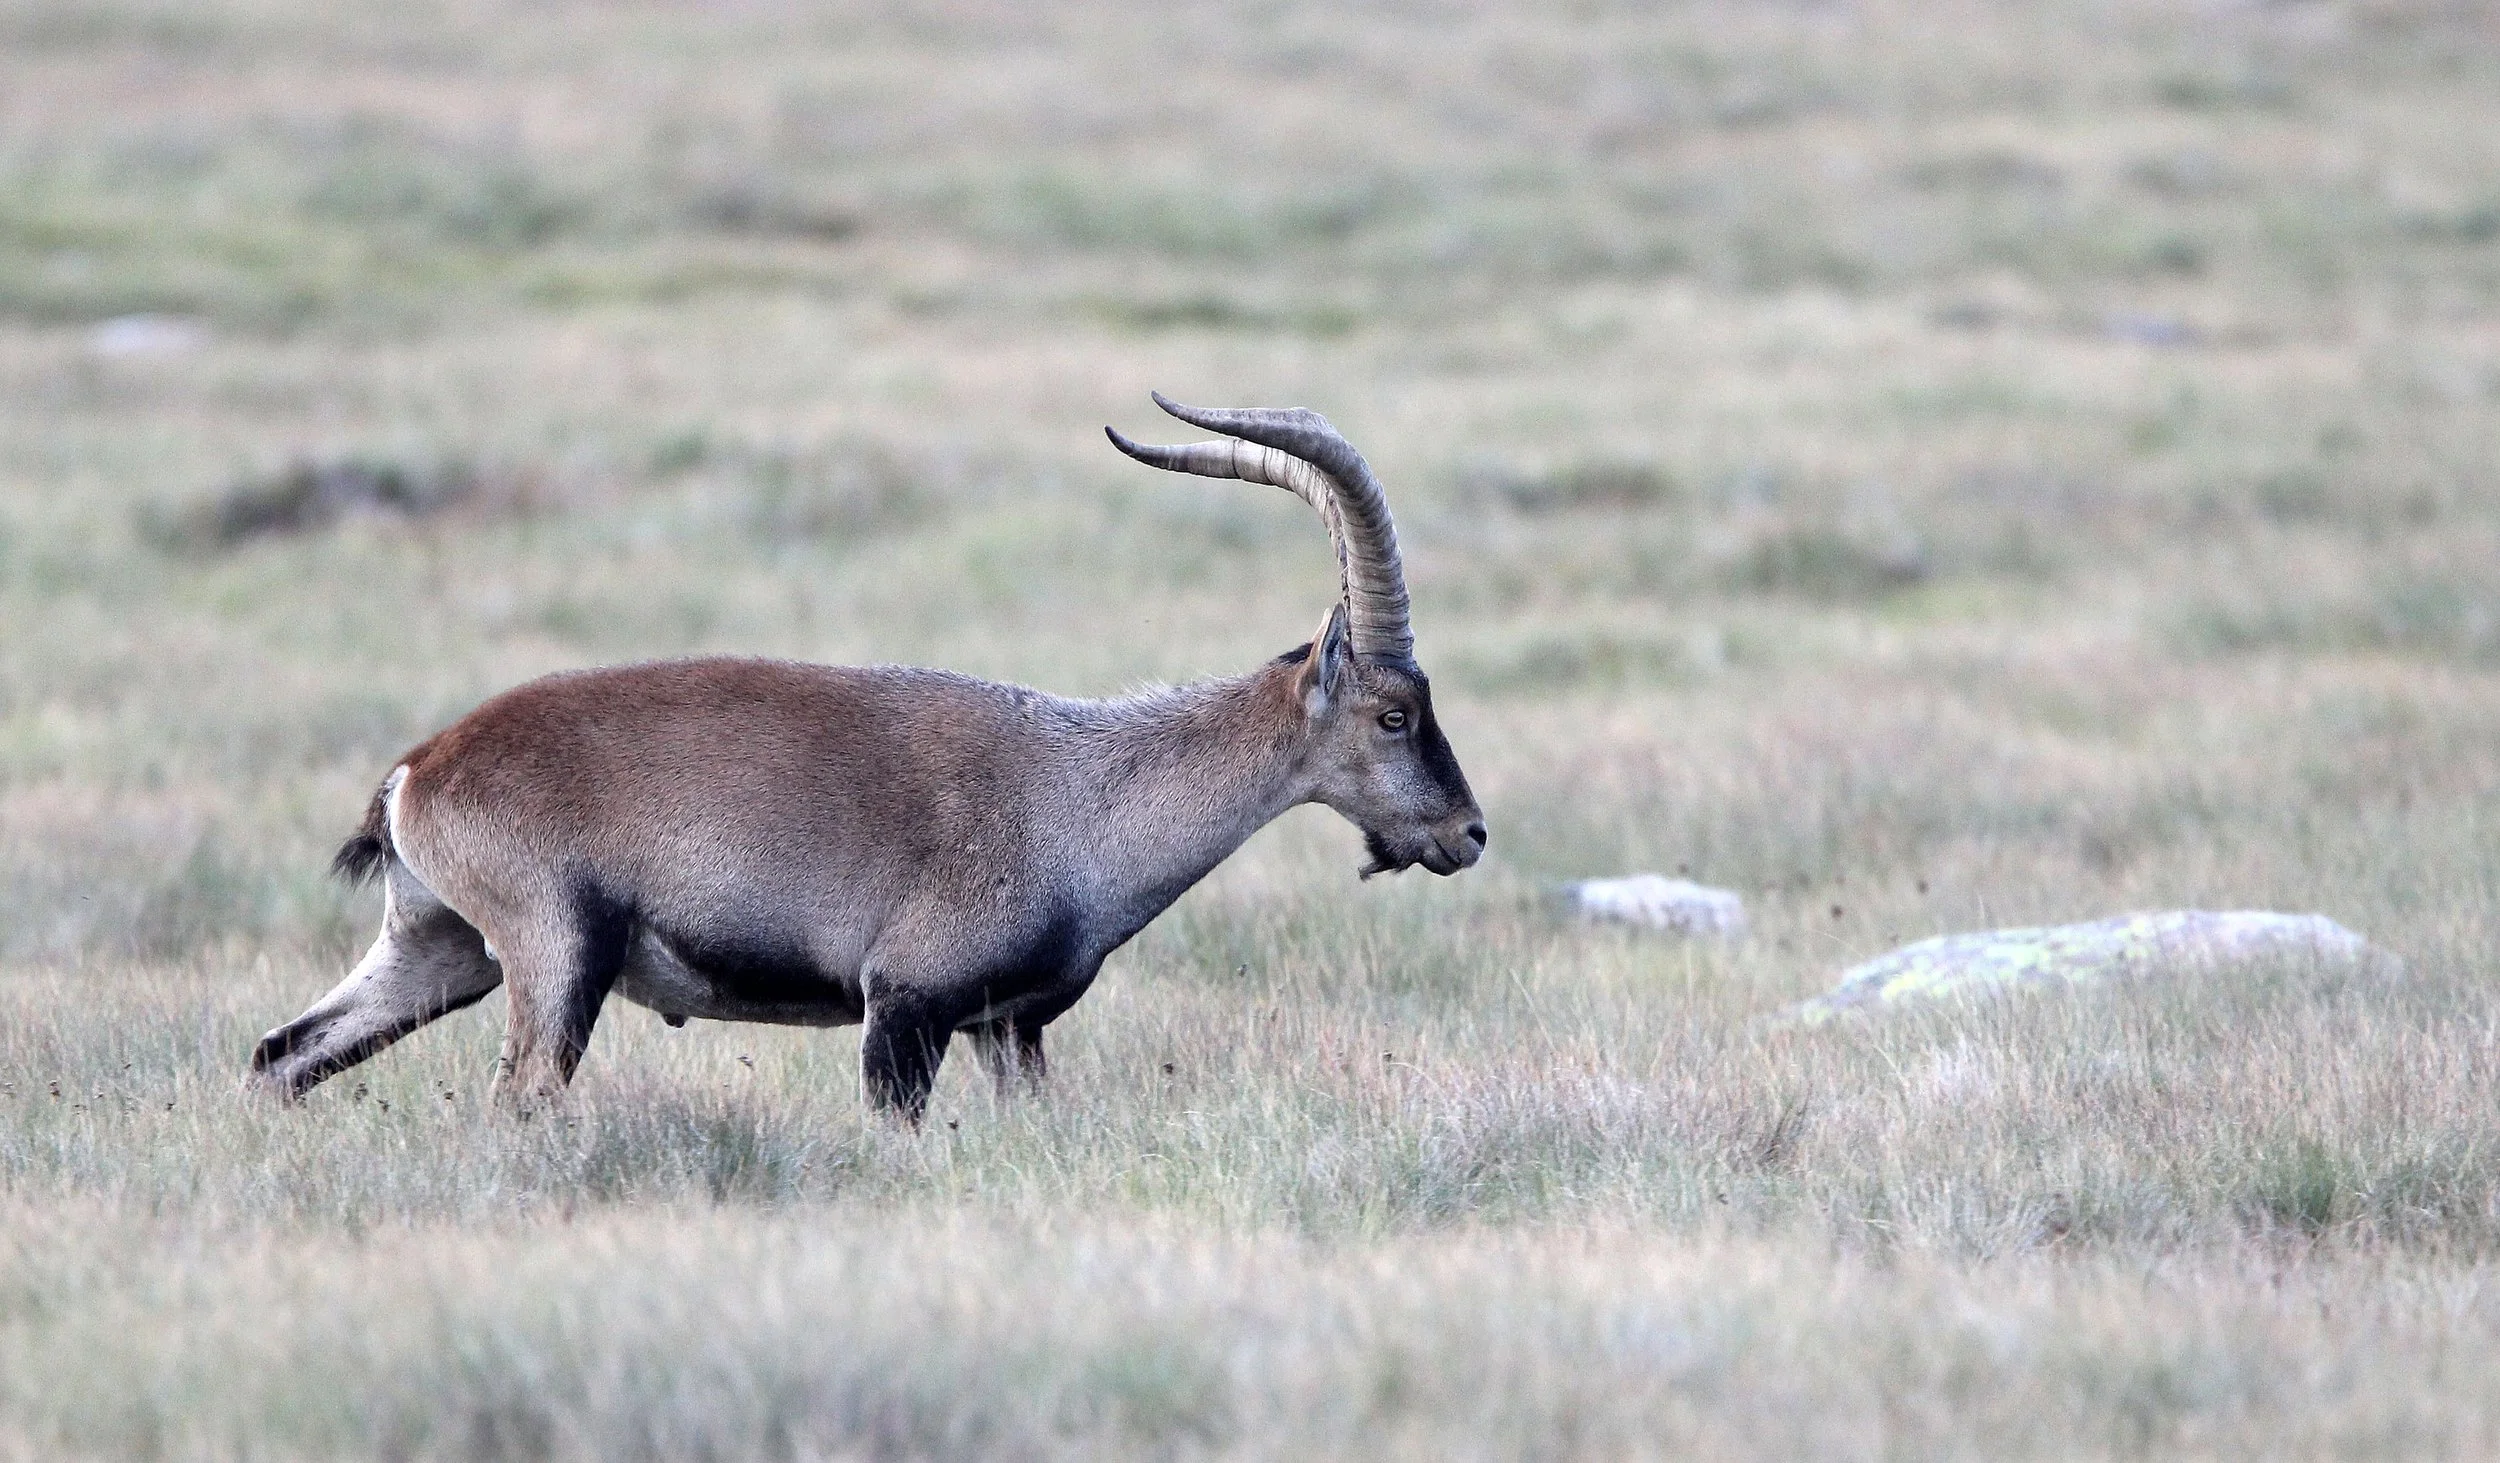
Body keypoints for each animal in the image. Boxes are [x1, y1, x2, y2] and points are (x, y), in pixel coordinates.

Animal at [246, 396, 1487, 1119]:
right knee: (517, 1096)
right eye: (1393, 713)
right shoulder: (903, 1013)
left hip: (438, 950)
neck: (1077, 791)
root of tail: (421, 767)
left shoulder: (1007, 1031)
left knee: (281, 1054)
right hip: (556, 958)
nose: (1465, 832)